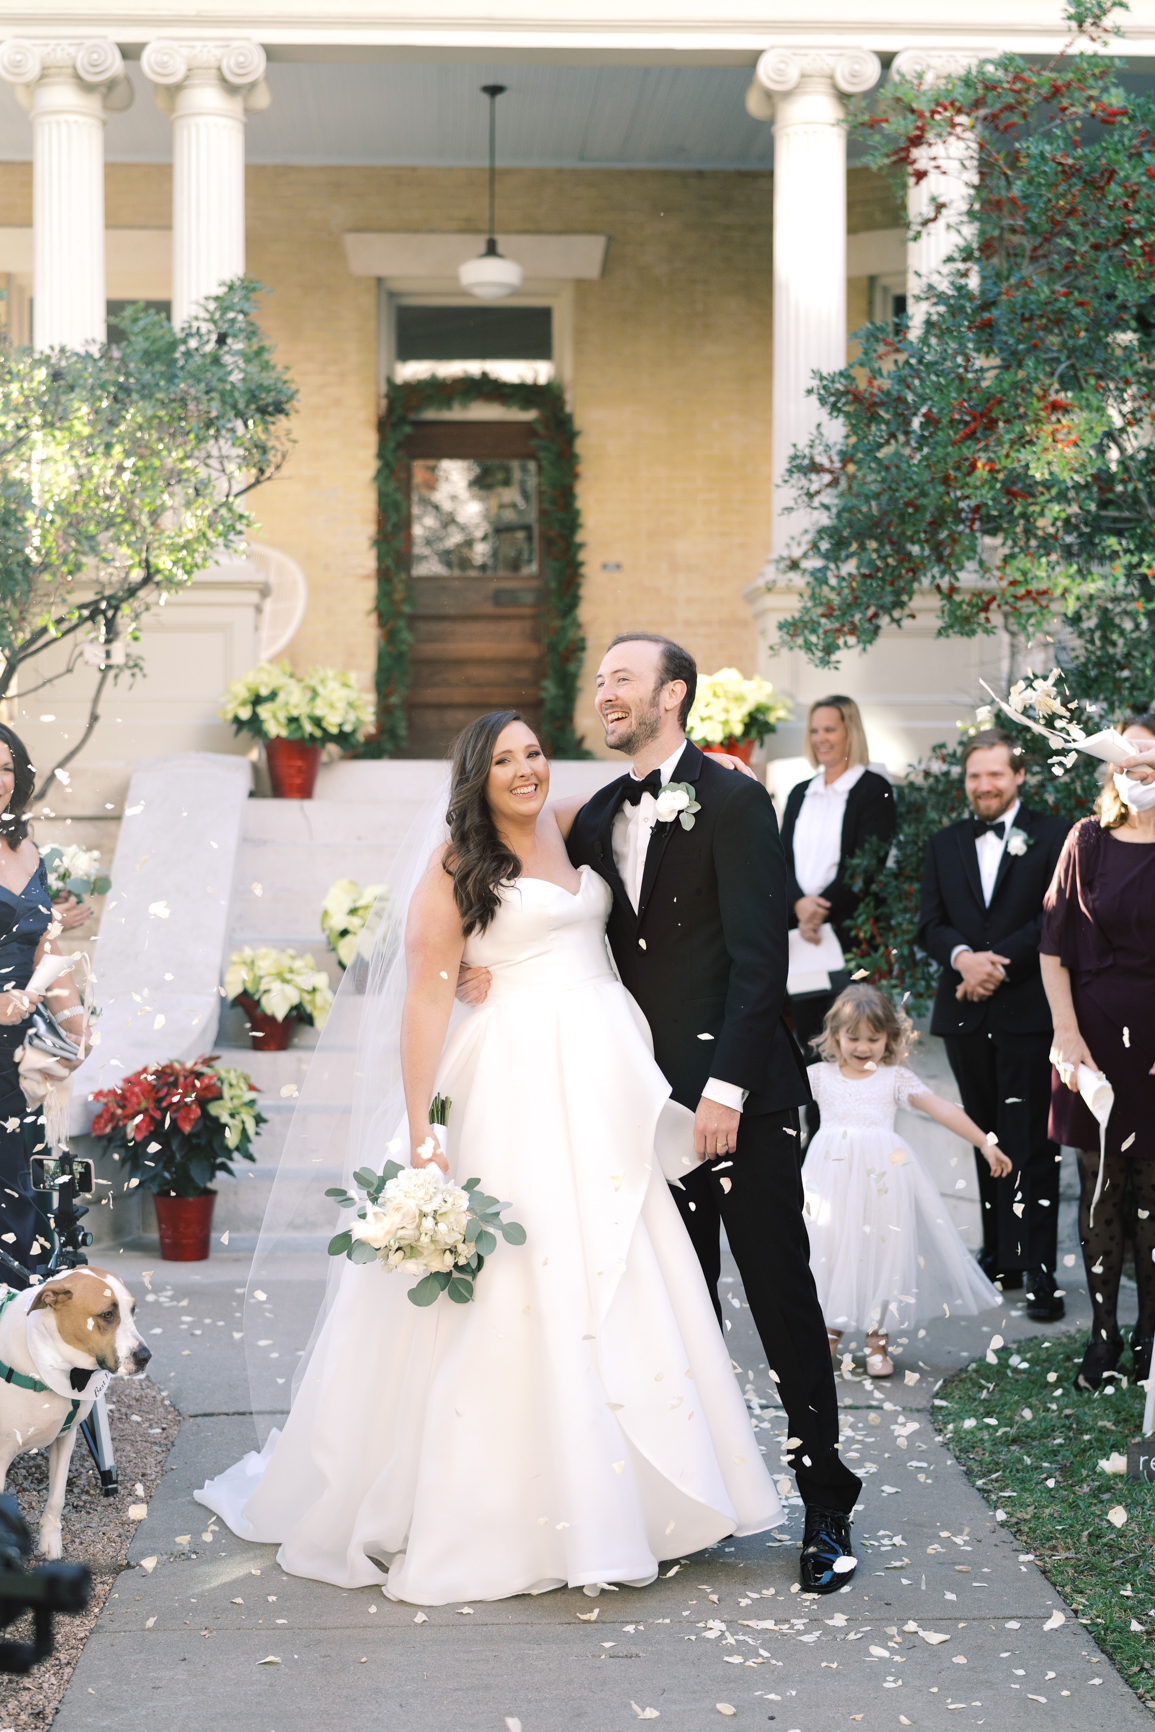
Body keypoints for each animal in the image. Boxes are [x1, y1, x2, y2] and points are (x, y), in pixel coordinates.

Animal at [0, 1267, 151, 1565]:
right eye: (107, 1314)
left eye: (133, 1310)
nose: (145, 1356)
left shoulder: (66, 1436)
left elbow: (57, 1497)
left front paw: (50, 1541)